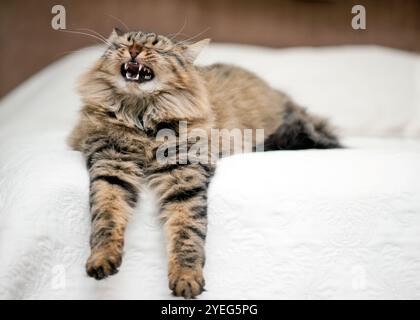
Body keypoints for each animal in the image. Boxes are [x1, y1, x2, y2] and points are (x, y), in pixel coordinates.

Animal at [67, 28, 340, 298]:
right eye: (126, 43)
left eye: (156, 47)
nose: (134, 50)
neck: (140, 118)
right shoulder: (111, 165)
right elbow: (105, 218)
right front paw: (101, 260)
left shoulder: (183, 174)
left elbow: (187, 231)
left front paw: (186, 278)